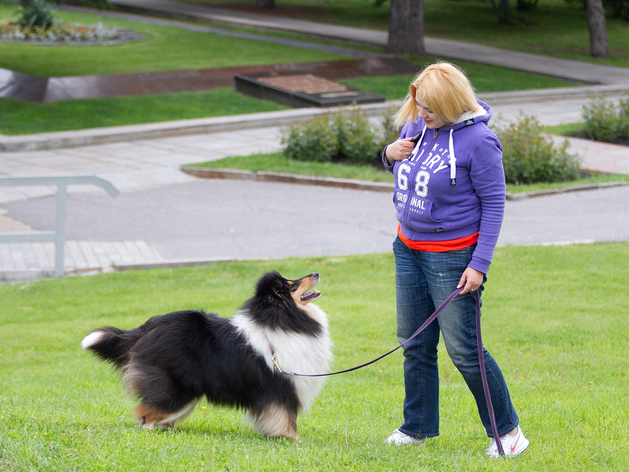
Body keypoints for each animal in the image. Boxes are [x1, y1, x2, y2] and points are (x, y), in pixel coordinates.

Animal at [82, 272, 334, 440]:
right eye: (291, 285)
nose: (316, 273)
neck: (284, 319)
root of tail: (147, 328)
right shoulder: (281, 387)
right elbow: (287, 418)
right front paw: (292, 440)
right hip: (177, 389)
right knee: (146, 413)